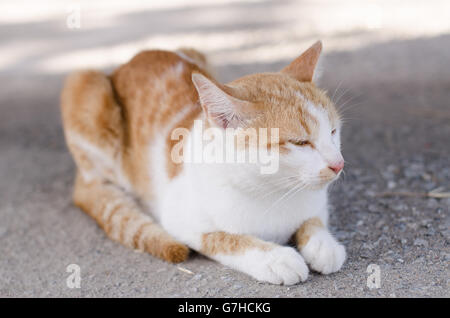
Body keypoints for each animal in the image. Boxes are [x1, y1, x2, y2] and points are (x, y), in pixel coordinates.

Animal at [59, 41, 346, 284]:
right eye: (301, 143)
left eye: (333, 131)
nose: (339, 164)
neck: (272, 191)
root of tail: (129, 61)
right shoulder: (180, 220)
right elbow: (225, 239)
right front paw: (275, 258)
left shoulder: (317, 204)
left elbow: (313, 220)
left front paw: (324, 245)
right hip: (86, 87)